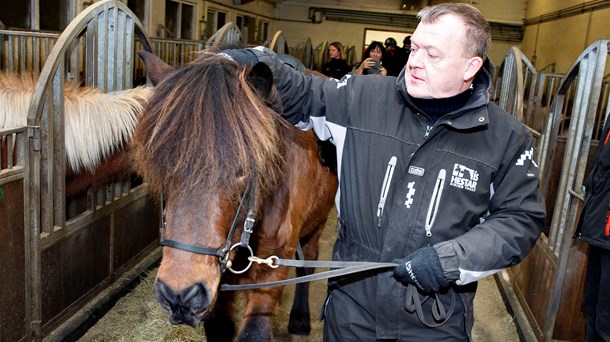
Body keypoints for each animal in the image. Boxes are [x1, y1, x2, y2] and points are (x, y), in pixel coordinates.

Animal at [134, 49, 338, 340]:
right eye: (161, 164)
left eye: (243, 169)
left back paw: (300, 319)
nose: (179, 294)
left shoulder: (270, 274)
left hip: (317, 223)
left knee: (307, 260)